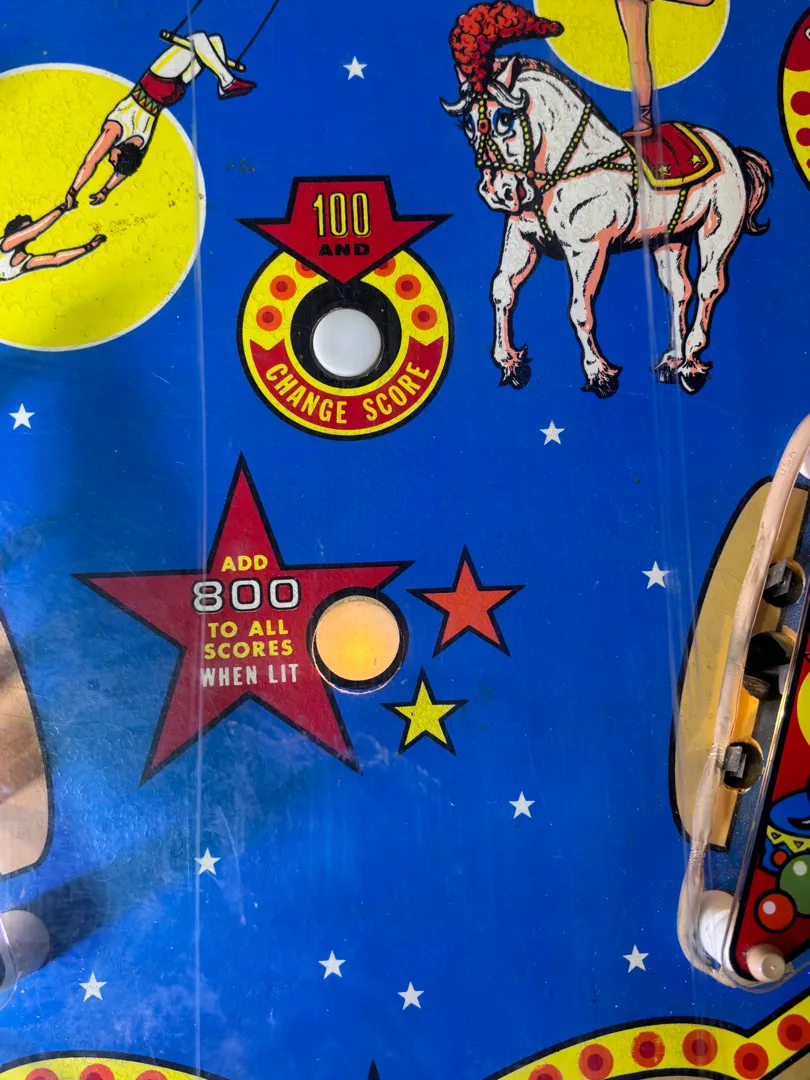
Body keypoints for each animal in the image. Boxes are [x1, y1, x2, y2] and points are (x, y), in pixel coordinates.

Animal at [441, 54, 772, 396]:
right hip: (670, 239)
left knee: (709, 285)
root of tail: (726, 148)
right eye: (468, 124)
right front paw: (510, 363)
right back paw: (672, 360)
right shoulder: (521, 238)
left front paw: (598, 373)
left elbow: (579, 310)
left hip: (718, 230)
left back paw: (691, 364)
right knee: (680, 290)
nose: (497, 192)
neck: (570, 168)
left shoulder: (587, 250)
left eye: (505, 118)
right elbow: (502, 289)